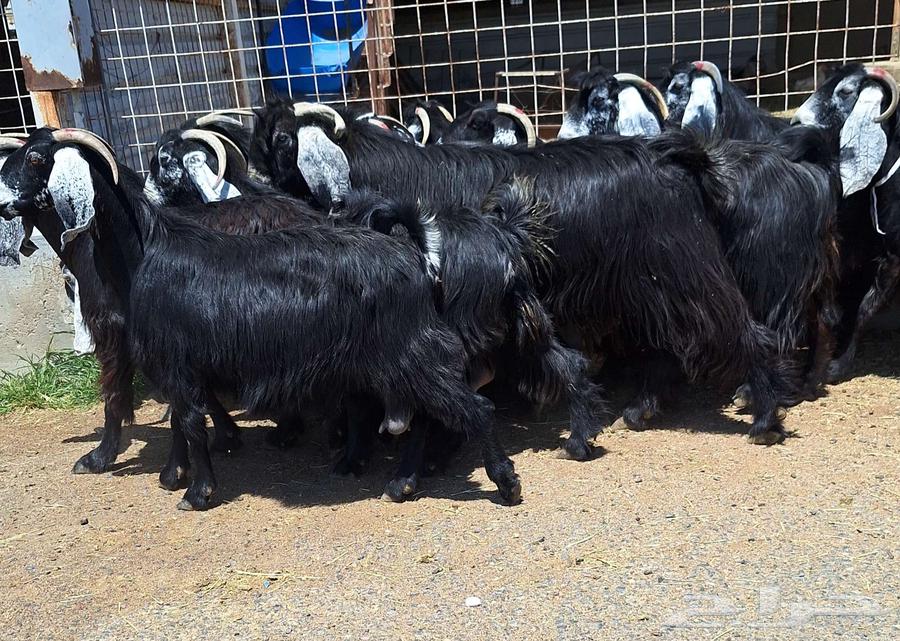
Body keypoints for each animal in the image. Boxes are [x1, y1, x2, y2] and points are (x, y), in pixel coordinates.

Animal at [0, 128, 522, 510]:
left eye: (36, 159)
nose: (3, 201)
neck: (145, 251)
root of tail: (415, 254)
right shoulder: (172, 363)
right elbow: (184, 420)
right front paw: (176, 476)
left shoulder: (175, 360)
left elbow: (187, 420)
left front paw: (197, 492)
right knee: (429, 411)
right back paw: (401, 481)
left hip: (409, 351)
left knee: (473, 407)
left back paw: (504, 484)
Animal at [251, 99, 793, 448]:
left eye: (281, 140)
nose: (253, 183)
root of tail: (679, 158)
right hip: (649, 288)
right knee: (664, 346)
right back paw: (639, 410)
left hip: (686, 273)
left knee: (747, 334)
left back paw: (765, 419)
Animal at [792, 63, 900, 381]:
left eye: (846, 91)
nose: (797, 121)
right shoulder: (888, 251)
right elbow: (861, 307)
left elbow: (865, 307)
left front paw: (836, 365)